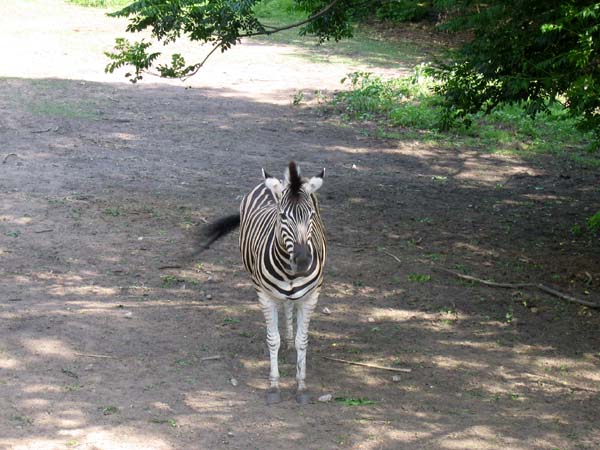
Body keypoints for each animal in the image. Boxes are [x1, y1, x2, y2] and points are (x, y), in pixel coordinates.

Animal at [205, 162, 328, 404]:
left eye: (310, 215)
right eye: (282, 216)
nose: (302, 260)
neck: (290, 272)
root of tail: (279, 182)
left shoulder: (311, 296)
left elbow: (302, 340)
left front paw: (301, 386)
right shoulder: (264, 295)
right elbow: (273, 340)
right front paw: (274, 386)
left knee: (289, 307)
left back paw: (290, 342)